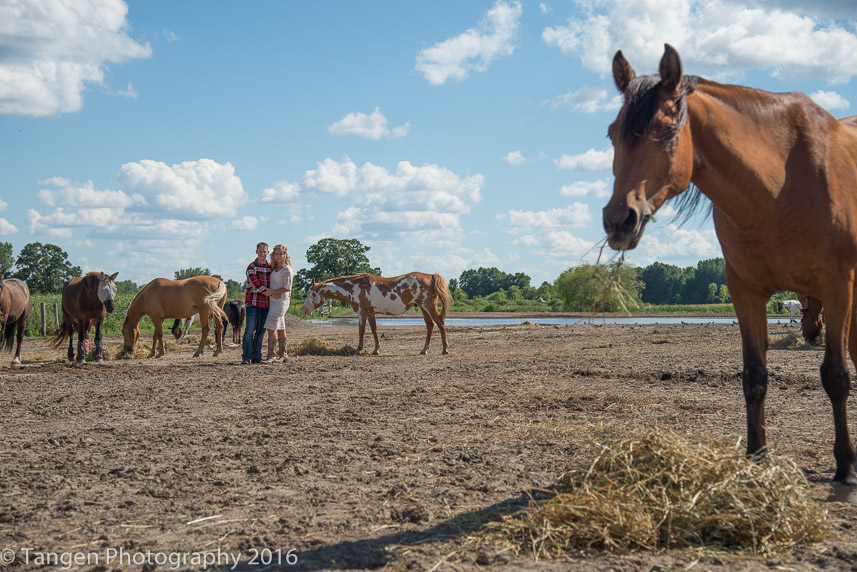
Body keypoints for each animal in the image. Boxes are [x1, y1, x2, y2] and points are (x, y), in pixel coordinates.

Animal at [300, 272, 452, 356]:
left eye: (311, 293)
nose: (303, 310)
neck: (355, 286)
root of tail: (431, 276)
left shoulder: (362, 312)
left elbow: (361, 330)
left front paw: (358, 349)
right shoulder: (371, 313)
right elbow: (374, 330)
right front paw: (376, 350)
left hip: (428, 307)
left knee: (440, 324)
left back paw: (445, 349)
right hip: (423, 308)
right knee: (430, 326)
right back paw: (424, 349)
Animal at [600, 43, 857, 482]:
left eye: (666, 130)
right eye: (612, 132)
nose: (619, 220)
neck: (780, 184)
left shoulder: (838, 287)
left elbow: (836, 376)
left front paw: (845, 465)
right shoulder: (745, 291)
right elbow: (754, 377)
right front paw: (756, 456)